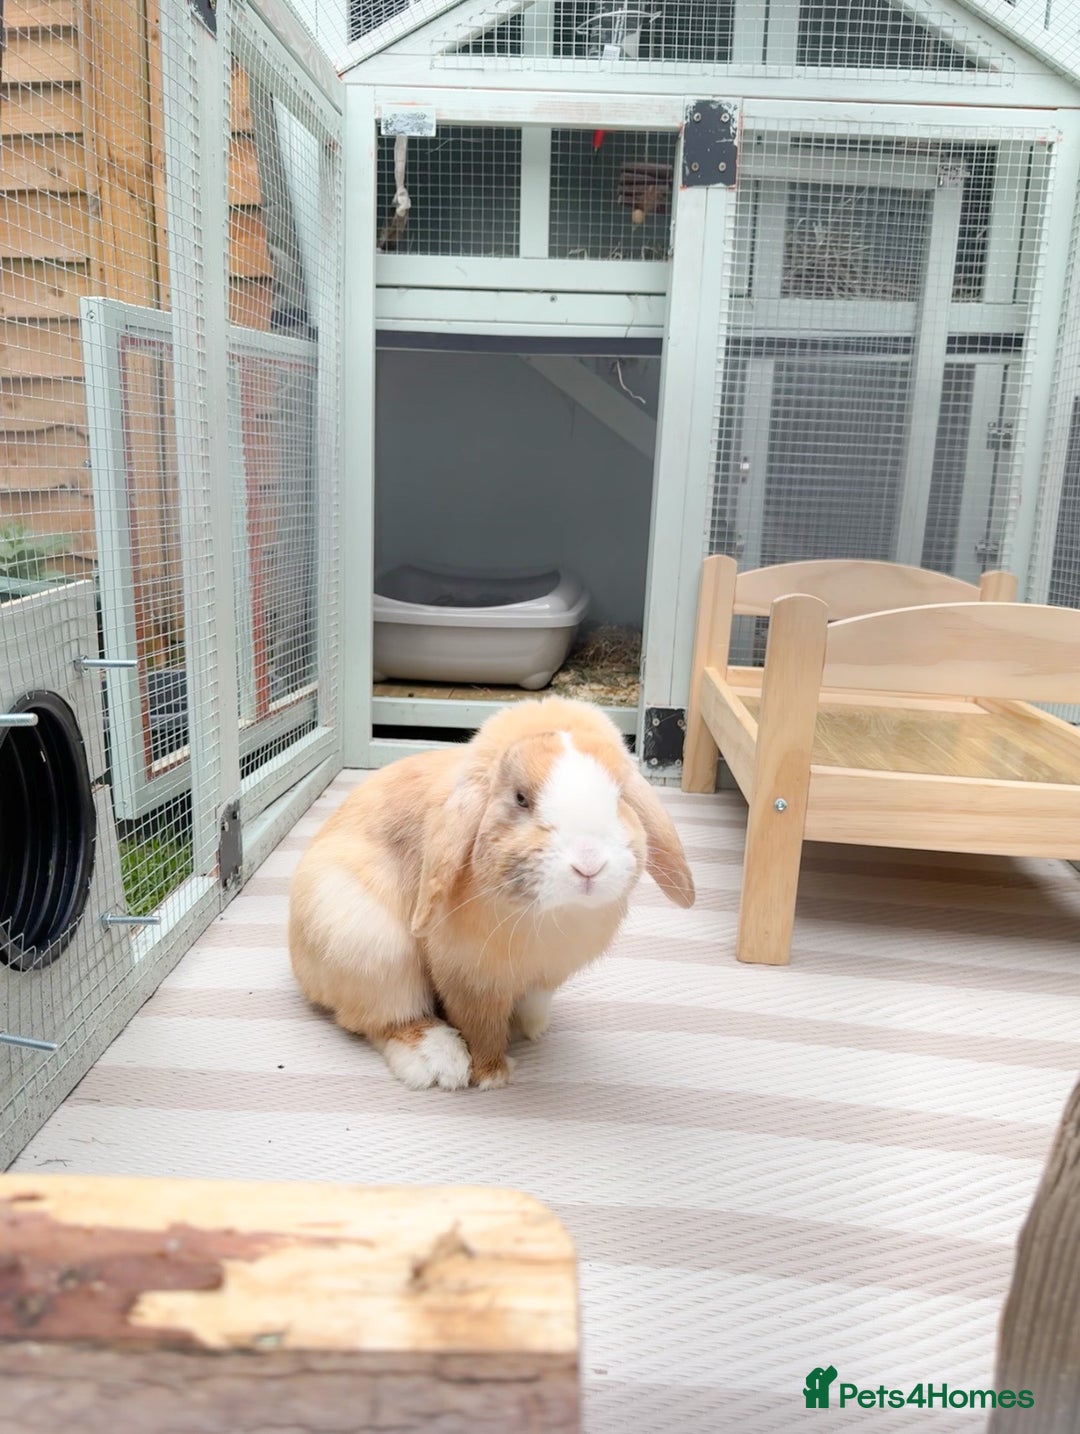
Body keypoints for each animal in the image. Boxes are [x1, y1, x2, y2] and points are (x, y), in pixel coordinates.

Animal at [288, 696, 695, 1091]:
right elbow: (479, 1025)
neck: (551, 914)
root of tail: (301, 968)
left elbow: (532, 1002)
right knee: (384, 1019)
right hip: (371, 949)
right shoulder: (469, 976)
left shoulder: (545, 975)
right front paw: (491, 1074)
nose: (589, 864)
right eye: (520, 799)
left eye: (620, 797)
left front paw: (529, 1028)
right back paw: (438, 1062)